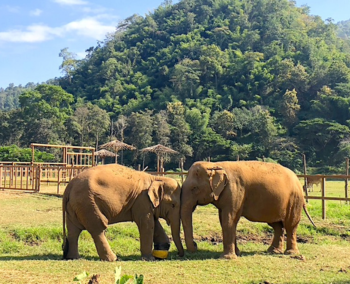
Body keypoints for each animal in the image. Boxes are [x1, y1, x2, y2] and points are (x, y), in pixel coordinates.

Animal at [180, 161, 314, 258]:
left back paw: (290, 253)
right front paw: (237, 253)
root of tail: (297, 179)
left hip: (294, 200)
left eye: (194, 188)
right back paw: (273, 251)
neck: (215, 165)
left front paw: (227, 257)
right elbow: (225, 221)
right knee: (277, 225)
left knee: (290, 225)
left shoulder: (235, 191)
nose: (196, 245)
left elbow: (229, 220)